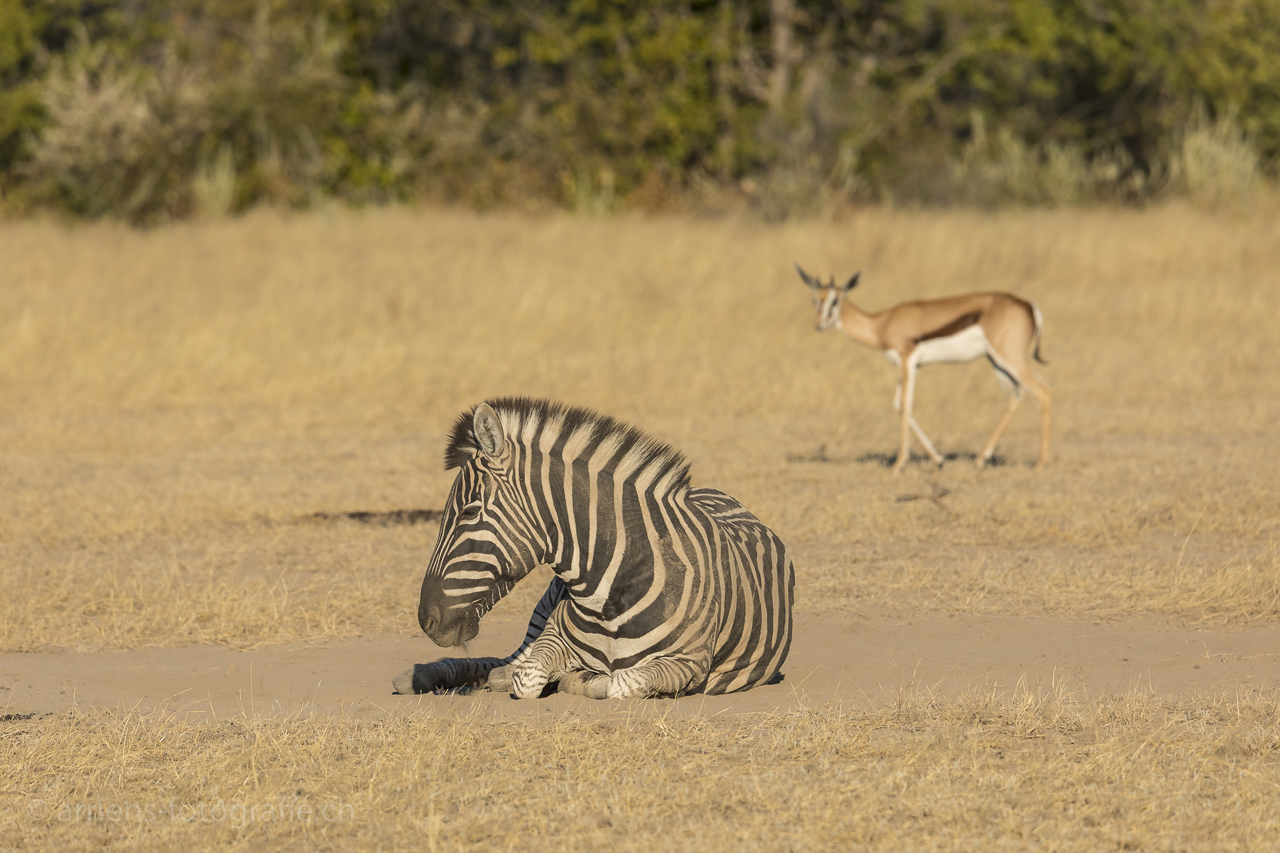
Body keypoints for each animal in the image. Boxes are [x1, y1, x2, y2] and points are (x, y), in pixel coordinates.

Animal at [391, 399, 788, 696]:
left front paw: (581, 680)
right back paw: (422, 675)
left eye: (470, 512)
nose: (426, 620)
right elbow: (527, 677)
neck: (612, 593)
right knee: (504, 663)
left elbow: (620, 683)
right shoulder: (551, 639)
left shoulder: (689, 662)